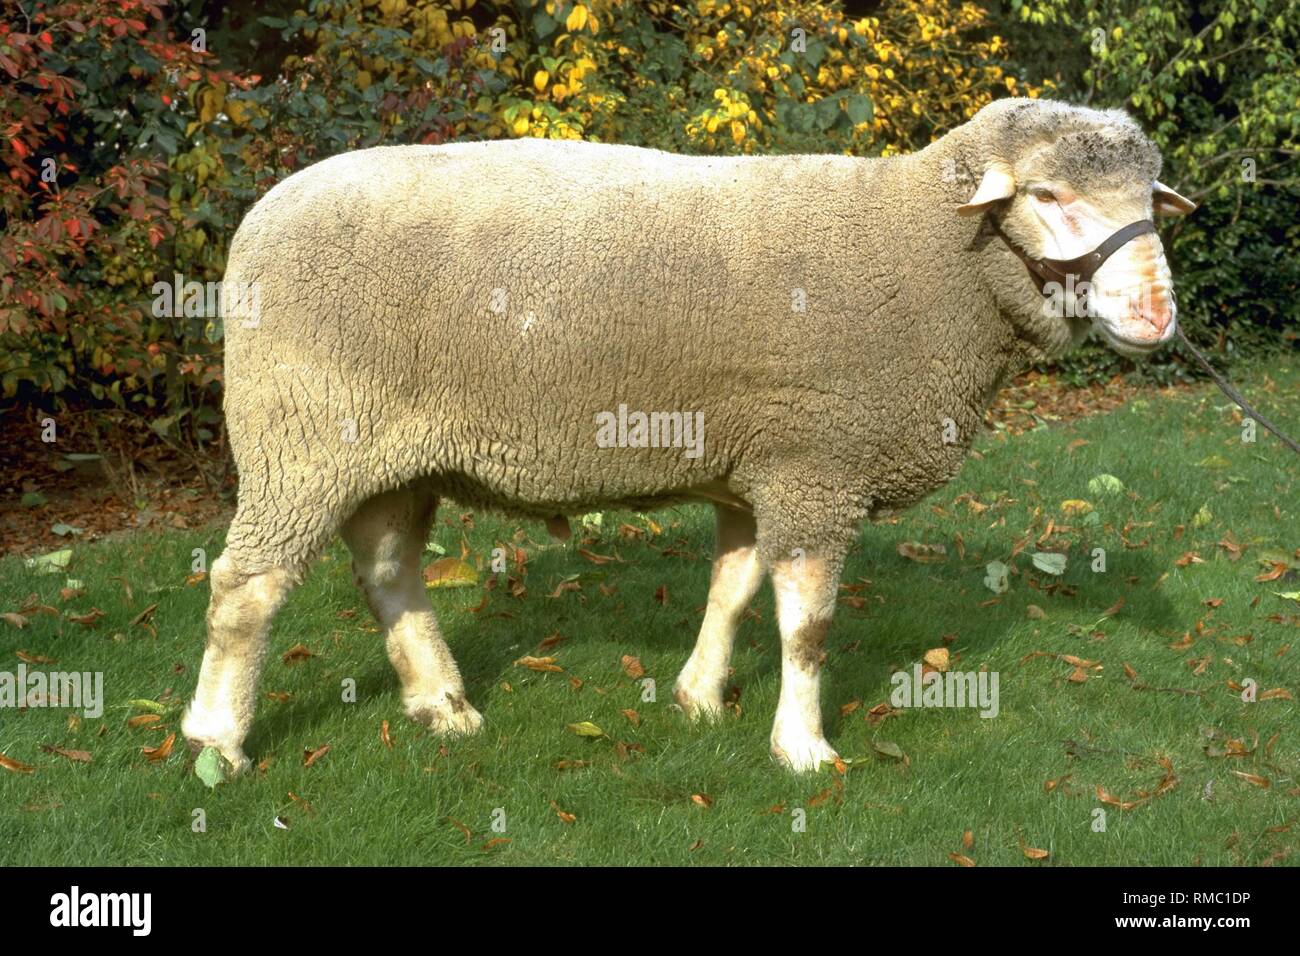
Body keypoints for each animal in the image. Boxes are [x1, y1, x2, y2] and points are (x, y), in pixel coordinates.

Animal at [185, 97, 1196, 775]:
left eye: (1147, 198)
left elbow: (734, 589)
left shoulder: (766, 463)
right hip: (300, 436)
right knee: (247, 589)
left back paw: (443, 705)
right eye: (1050, 194)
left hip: (382, 453)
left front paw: (700, 696)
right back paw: (216, 742)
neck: (923, 251)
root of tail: (256, 221)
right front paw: (803, 746)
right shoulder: (818, 464)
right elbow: (808, 627)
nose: (1157, 317)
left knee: (389, 568)